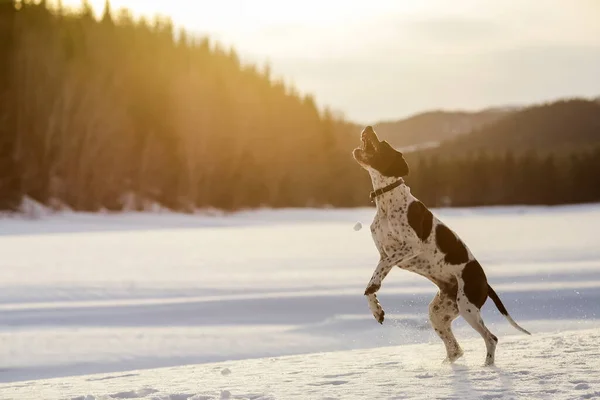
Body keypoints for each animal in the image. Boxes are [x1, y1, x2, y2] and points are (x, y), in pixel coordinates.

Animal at [352, 125, 528, 366]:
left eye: (383, 144)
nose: (369, 127)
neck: (388, 199)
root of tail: (485, 283)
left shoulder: (408, 247)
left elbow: (375, 278)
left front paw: (374, 291)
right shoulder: (384, 253)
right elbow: (373, 282)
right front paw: (376, 309)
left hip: (467, 307)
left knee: (491, 338)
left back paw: (487, 368)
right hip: (439, 312)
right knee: (456, 349)